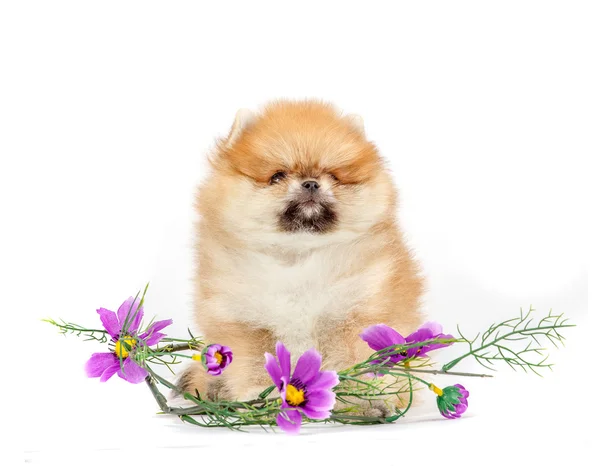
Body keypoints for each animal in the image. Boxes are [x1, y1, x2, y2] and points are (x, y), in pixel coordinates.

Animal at [178, 99, 422, 412]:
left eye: (333, 176)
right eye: (278, 176)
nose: (311, 183)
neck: (299, 254)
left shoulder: (353, 315)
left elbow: (354, 362)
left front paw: (361, 398)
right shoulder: (244, 321)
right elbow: (256, 363)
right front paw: (261, 395)